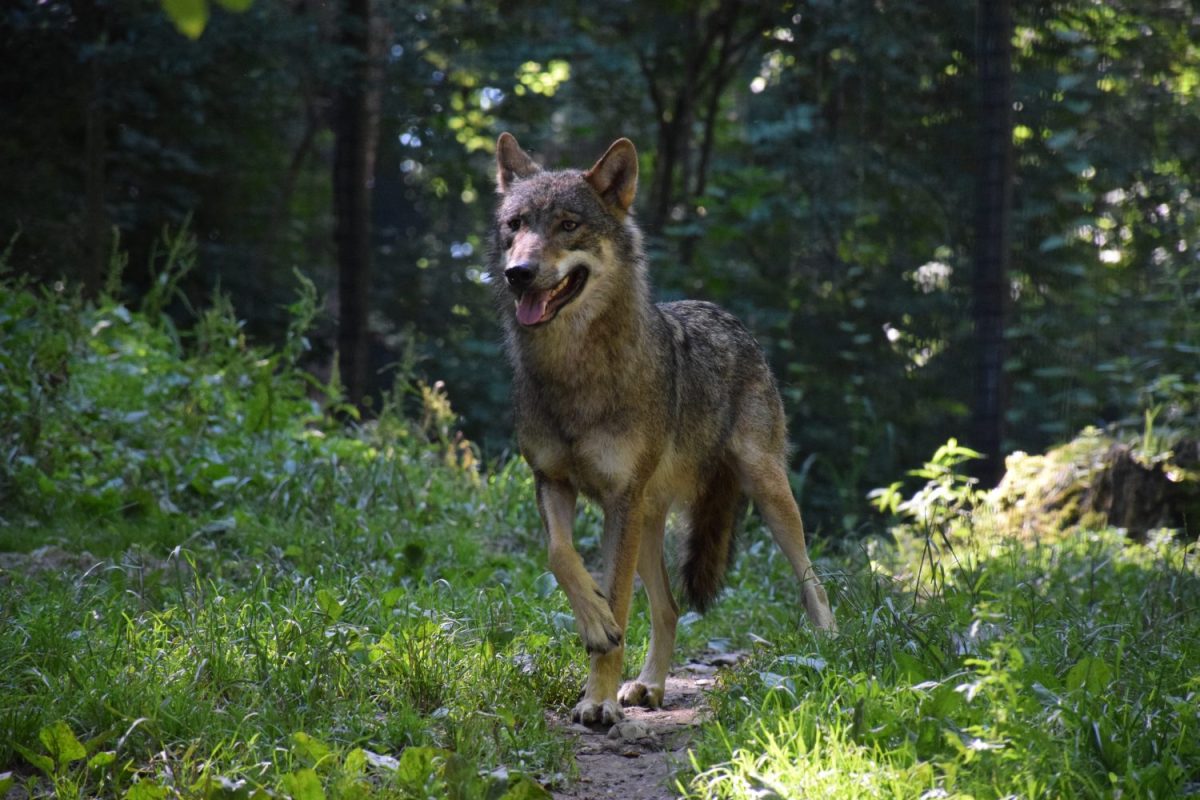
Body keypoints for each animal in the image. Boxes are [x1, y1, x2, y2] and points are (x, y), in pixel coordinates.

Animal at [487, 133, 835, 724]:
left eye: (568, 224)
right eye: (515, 224)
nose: (520, 272)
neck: (574, 372)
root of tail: (728, 317)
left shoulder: (619, 499)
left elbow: (618, 602)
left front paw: (598, 701)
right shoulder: (552, 482)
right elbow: (562, 558)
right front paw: (595, 625)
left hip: (767, 494)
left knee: (814, 581)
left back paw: (834, 651)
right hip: (648, 522)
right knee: (669, 608)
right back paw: (648, 685)